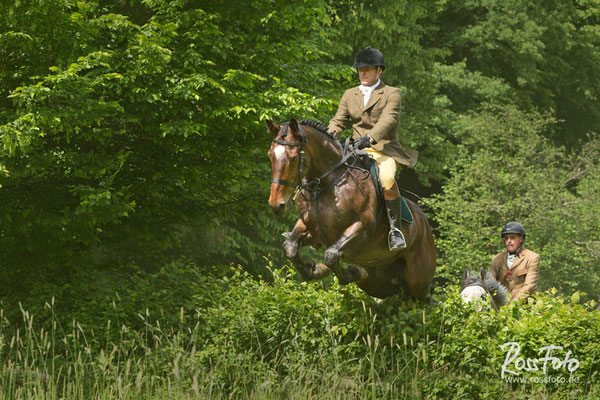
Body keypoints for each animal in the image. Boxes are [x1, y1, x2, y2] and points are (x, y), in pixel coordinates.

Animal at [268, 119, 436, 300]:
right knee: (392, 291)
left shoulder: (361, 227)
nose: (276, 204)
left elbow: (331, 255)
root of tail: (425, 223)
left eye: (293, 159)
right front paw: (314, 270)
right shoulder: (311, 228)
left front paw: (342, 272)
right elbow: (290, 247)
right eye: (270, 155)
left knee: (424, 295)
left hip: (417, 278)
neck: (327, 184)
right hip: (379, 280)